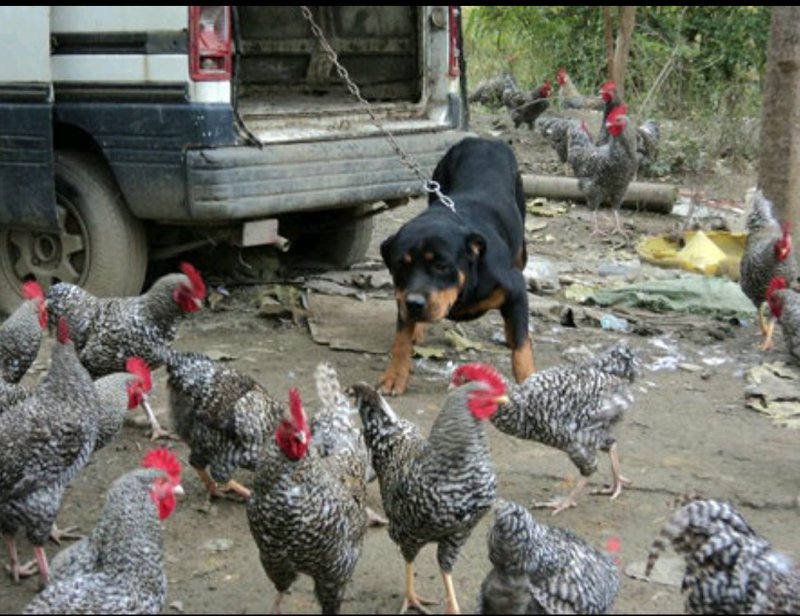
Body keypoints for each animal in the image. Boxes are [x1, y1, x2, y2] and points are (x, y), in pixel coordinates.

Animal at [378, 136, 536, 394]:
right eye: (400, 266)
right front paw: (394, 375)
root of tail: (480, 139)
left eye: (441, 266)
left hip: (521, 239)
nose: (415, 304)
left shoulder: (515, 287)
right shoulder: (401, 295)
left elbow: (521, 347)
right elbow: (401, 338)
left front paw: (529, 380)